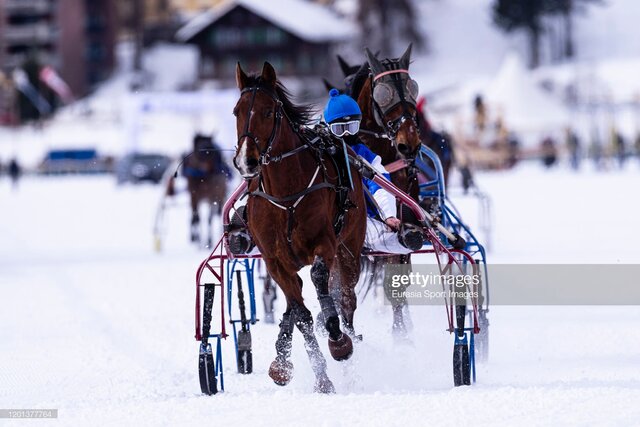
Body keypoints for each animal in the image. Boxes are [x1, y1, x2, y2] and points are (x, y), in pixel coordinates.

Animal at [234, 61, 364, 392]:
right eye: (237, 111)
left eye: (268, 111)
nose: (247, 161)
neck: (285, 194)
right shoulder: (274, 260)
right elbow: (300, 314)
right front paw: (321, 379)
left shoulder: (325, 243)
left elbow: (320, 280)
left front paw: (338, 342)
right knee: (297, 302)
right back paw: (282, 358)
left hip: (350, 247)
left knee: (345, 298)